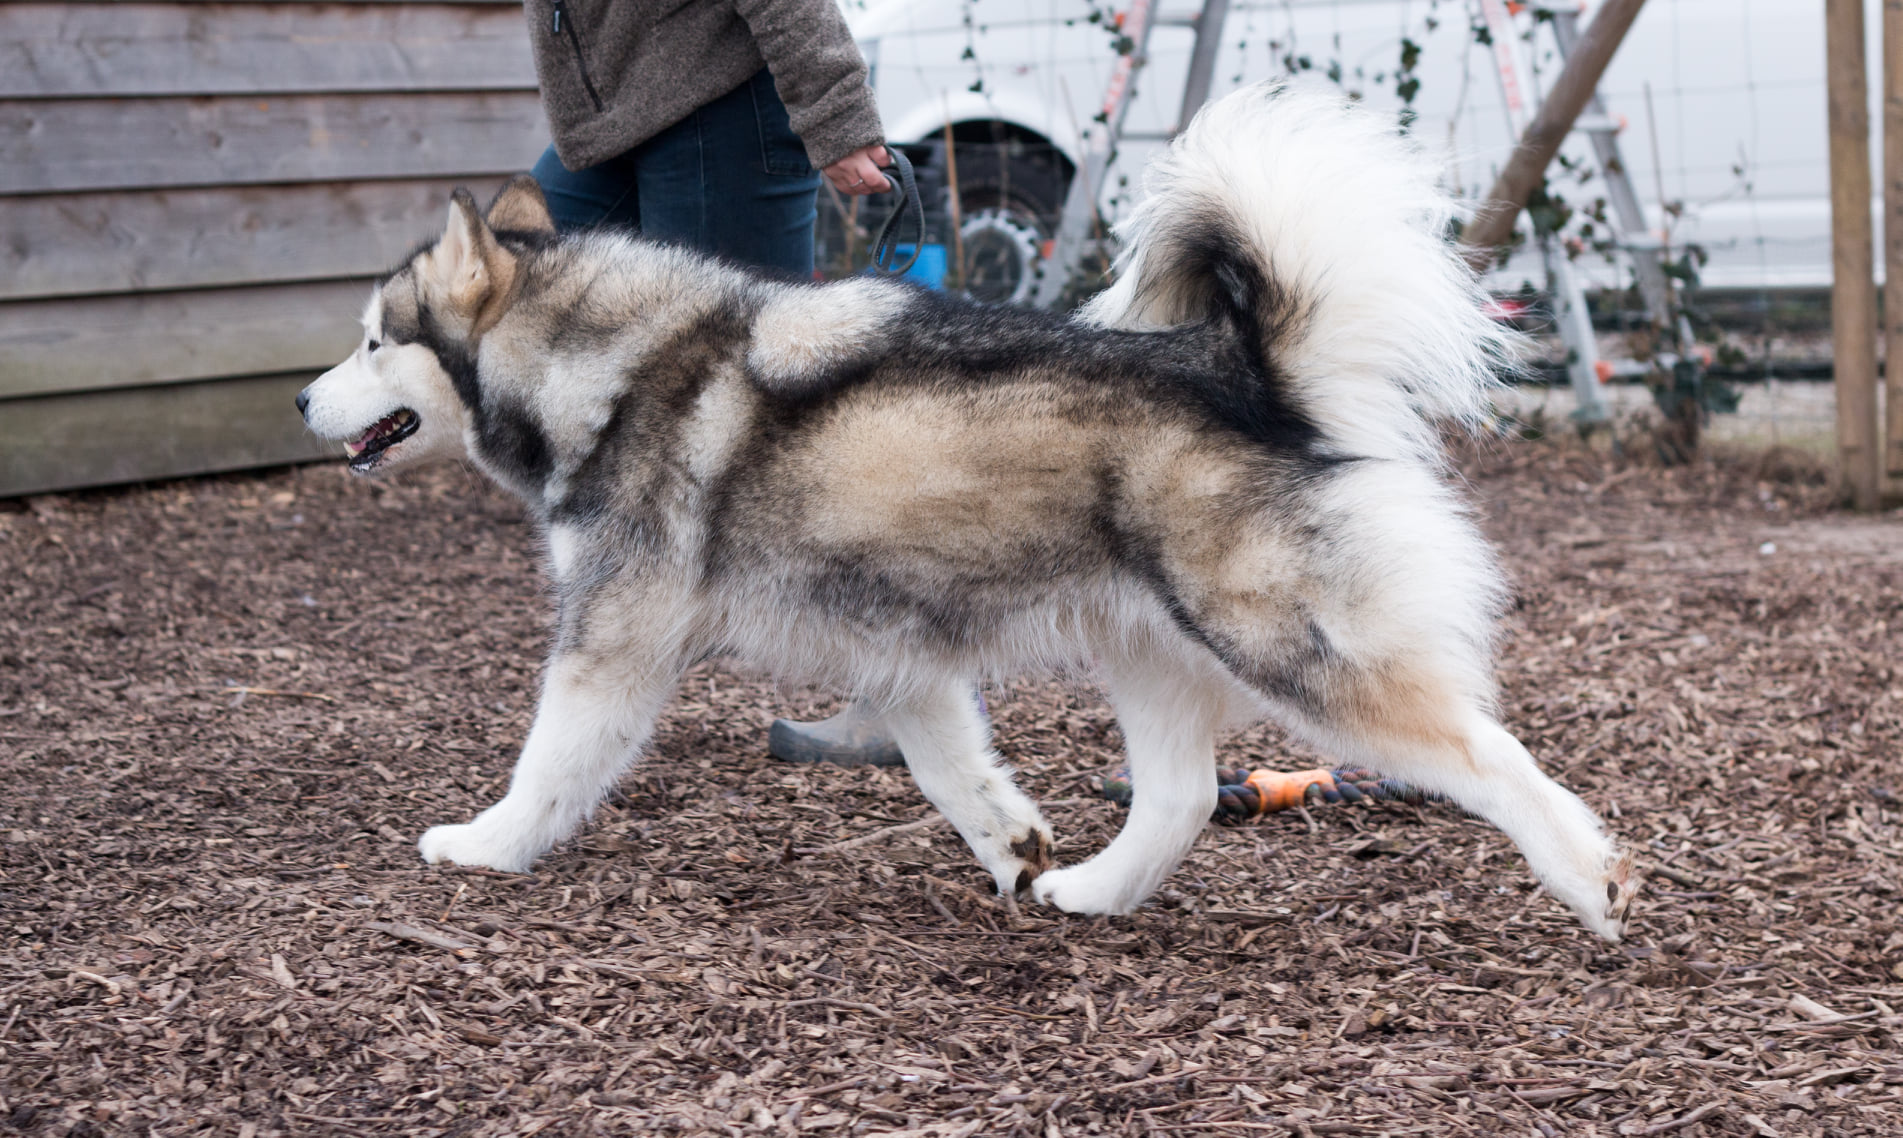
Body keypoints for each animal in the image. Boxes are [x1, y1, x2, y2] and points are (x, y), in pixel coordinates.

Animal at [300, 84, 1636, 943]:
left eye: (370, 341)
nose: (306, 397)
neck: (613, 366)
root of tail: (1246, 369)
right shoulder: (901, 659)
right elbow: (957, 773)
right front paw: (1012, 846)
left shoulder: (612, 645)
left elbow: (550, 763)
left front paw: (485, 846)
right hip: (1146, 649)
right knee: (1179, 798)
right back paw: (1092, 891)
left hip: (1286, 648)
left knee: (1489, 755)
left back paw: (1591, 884)